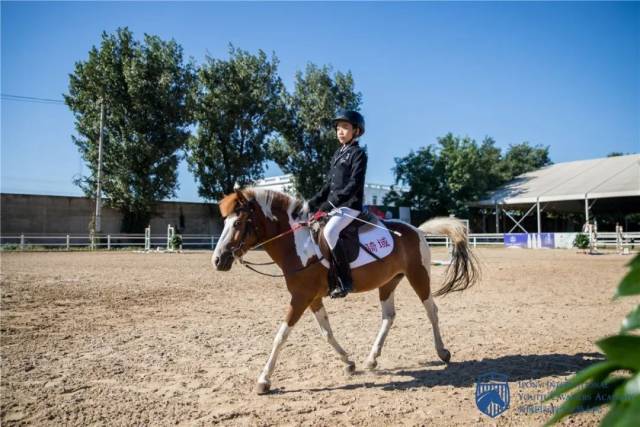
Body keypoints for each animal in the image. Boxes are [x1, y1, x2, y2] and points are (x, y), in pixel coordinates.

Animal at [212, 189, 478, 396]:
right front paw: (349, 363)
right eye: (224, 223)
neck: (298, 245)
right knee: (388, 316)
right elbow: (326, 332)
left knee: (431, 310)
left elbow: (281, 336)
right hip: (388, 282)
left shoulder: (300, 298)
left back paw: (443, 352)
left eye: (237, 224)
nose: (217, 260)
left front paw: (263, 380)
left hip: (419, 276)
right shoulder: (312, 298)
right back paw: (372, 358)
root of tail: (417, 230)